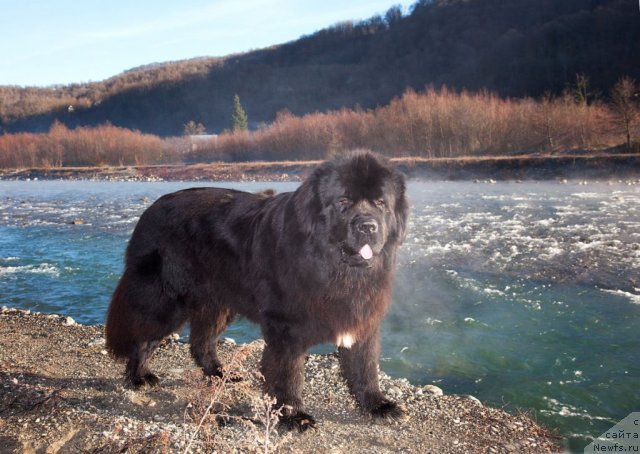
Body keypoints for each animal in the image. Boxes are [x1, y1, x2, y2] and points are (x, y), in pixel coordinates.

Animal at [104, 151, 404, 430]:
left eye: (380, 203)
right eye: (343, 202)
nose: (368, 226)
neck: (331, 265)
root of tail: (150, 210)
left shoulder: (363, 319)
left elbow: (365, 367)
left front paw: (377, 405)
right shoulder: (285, 327)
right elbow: (287, 374)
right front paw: (293, 415)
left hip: (218, 303)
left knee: (201, 342)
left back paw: (220, 373)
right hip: (166, 300)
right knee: (142, 337)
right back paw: (138, 377)